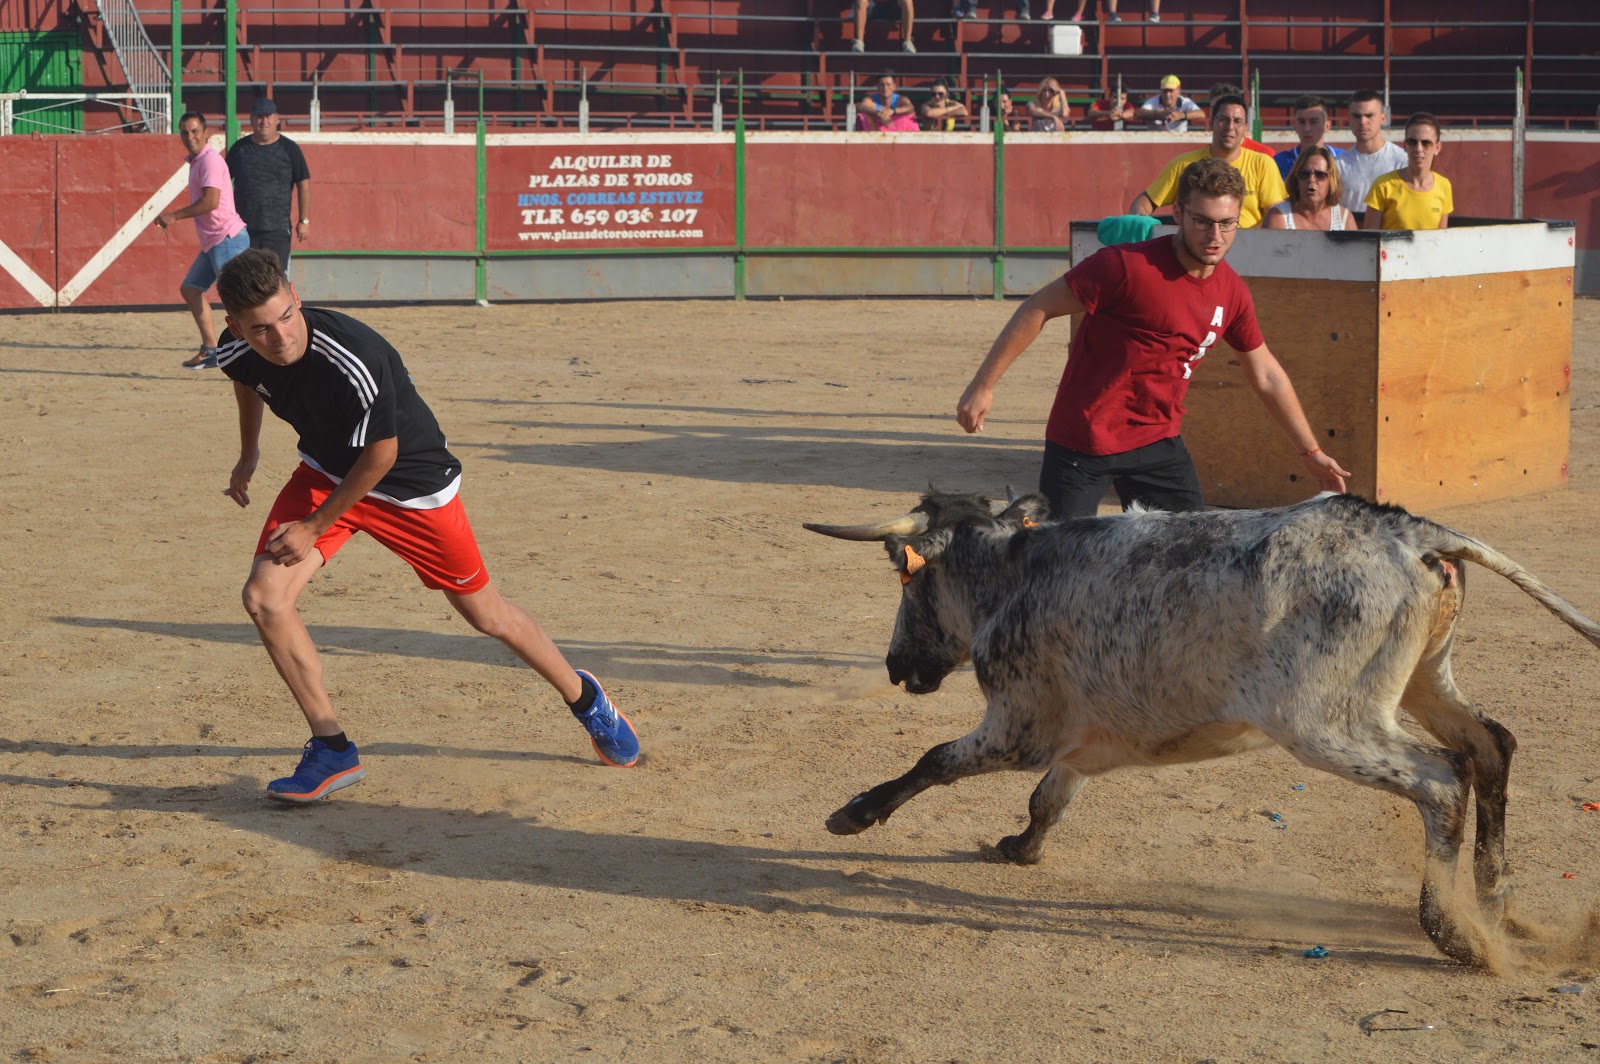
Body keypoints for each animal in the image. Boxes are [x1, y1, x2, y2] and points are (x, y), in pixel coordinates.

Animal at [805, 490, 1600, 967]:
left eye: (906, 577)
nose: (895, 666)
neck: (1011, 571)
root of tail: (1407, 528)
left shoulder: (1017, 727)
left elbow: (936, 760)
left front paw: (854, 814)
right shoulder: (1087, 740)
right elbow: (1048, 800)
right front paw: (1018, 848)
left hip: (1327, 724)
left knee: (1439, 778)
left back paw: (1454, 931)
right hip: (1426, 681)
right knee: (1490, 745)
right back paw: (1496, 904)